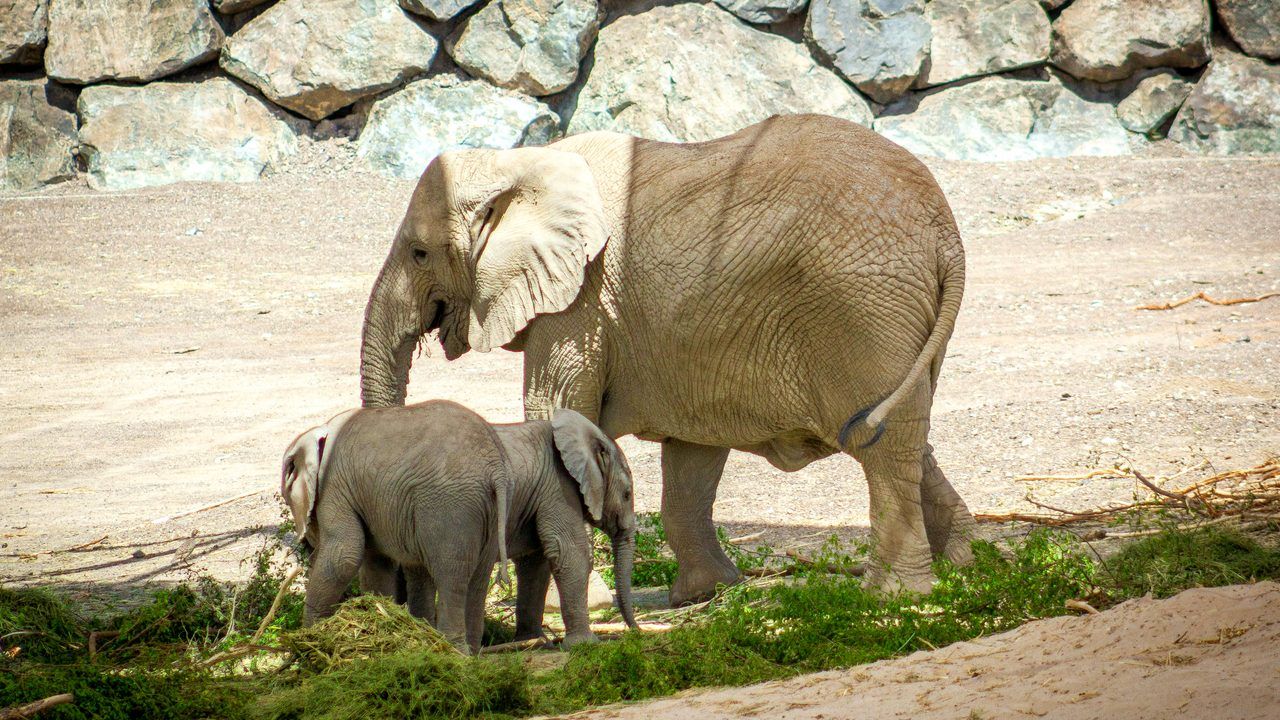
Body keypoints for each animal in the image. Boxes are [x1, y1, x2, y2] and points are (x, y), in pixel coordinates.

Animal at [279, 400, 637, 652]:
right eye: (628, 494)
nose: (636, 632)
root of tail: (495, 467)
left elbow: (548, 557)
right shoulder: (554, 486)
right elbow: (554, 555)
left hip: (455, 505)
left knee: (457, 572)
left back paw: (460, 651)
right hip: (457, 506)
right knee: (462, 573)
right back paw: (465, 651)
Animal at [358, 113, 977, 604]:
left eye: (419, 253)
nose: (396, 593)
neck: (520, 164)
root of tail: (945, 235)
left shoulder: (580, 303)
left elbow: (558, 411)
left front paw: (586, 605)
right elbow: (692, 451)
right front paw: (703, 595)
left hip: (862, 311)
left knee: (880, 441)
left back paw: (895, 594)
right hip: (894, 321)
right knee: (908, 434)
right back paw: (971, 571)